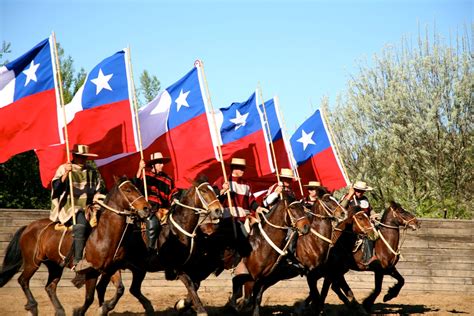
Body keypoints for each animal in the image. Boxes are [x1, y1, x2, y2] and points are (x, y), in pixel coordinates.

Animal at [0, 178, 150, 316]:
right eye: (128, 190)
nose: (147, 208)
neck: (103, 235)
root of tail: (28, 227)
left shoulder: (110, 269)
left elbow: (118, 289)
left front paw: (105, 308)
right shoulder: (91, 272)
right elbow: (89, 298)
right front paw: (80, 311)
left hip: (55, 266)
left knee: (50, 287)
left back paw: (60, 311)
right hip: (32, 262)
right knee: (23, 280)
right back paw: (32, 307)